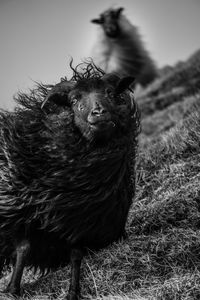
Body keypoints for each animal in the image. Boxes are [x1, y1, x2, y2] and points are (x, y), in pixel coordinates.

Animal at [0, 61, 140, 300]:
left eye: (110, 93)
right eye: (74, 100)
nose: (98, 112)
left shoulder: (81, 221)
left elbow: (76, 255)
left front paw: (73, 292)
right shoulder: (20, 212)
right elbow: (23, 248)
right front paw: (12, 290)